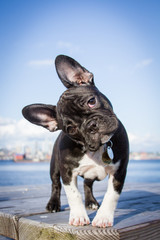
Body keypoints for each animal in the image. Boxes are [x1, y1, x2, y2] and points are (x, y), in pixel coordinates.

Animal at [22, 55, 129, 228]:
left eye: (91, 101)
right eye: (71, 129)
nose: (91, 125)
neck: (96, 149)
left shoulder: (119, 171)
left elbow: (111, 195)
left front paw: (103, 217)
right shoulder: (67, 171)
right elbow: (73, 195)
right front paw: (79, 216)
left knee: (87, 184)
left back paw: (91, 202)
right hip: (54, 166)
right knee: (55, 184)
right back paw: (53, 204)